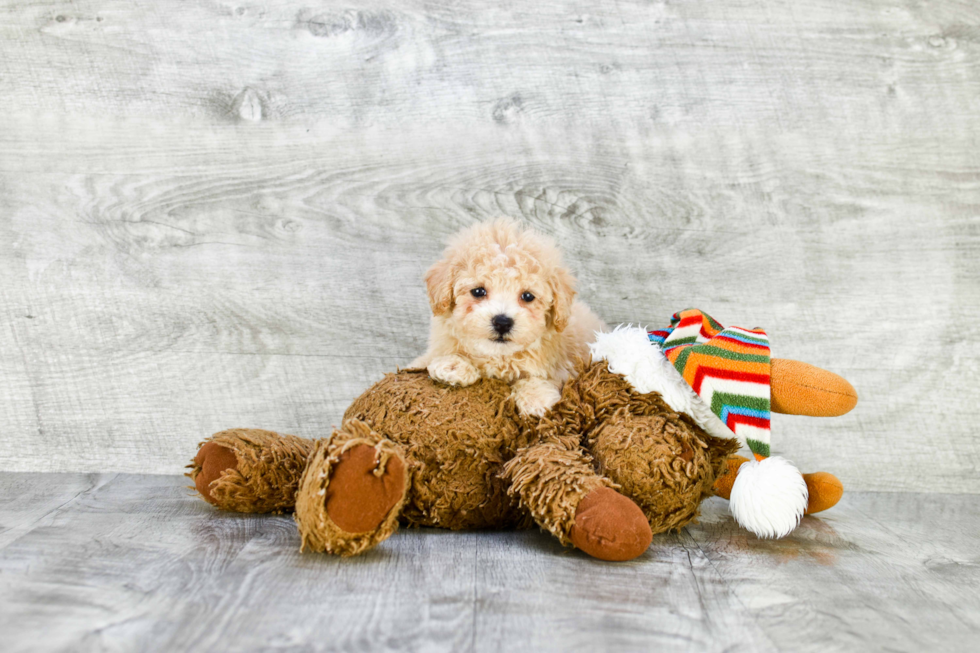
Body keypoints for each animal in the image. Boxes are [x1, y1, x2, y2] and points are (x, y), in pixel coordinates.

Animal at [408, 216, 604, 416]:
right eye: (478, 291)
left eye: (528, 296)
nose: (502, 322)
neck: (499, 357)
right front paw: (453, 365)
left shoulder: (563, 366)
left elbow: (542, 377)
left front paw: (536, 398)